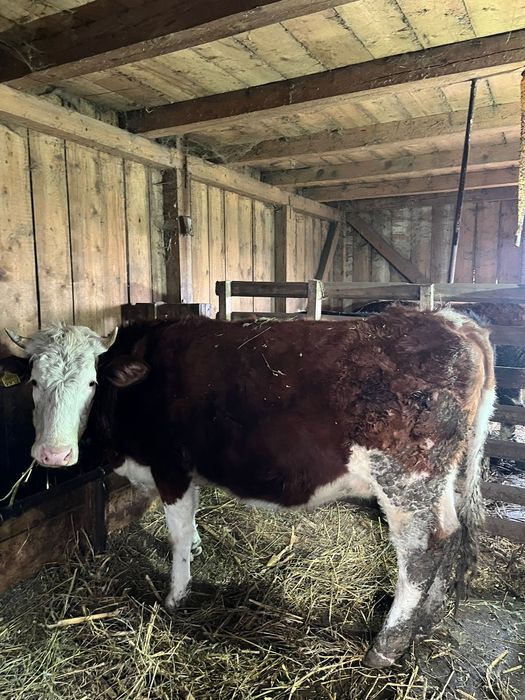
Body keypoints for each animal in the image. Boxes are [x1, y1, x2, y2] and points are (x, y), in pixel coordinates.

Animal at [2, 306, 495, 668]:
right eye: (34, 381)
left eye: (92, 381)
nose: (52, 455)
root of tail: (453, 321)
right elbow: (192, 522)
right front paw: (196, 551)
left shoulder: (170, 465)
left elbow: (177, 533)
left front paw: (176, 596)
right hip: (440, 481)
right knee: (452, 534)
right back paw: (427, 618)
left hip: (406, 481)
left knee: (423, 551)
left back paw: (385, 647)